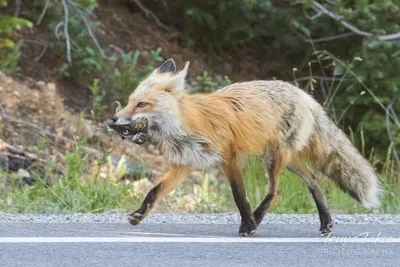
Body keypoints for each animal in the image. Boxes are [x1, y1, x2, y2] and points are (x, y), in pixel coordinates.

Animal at [111, 58, 382, 237]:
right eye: (129, 102)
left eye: (142, 105)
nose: (113, 120)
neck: (189, 125)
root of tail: (303, 94)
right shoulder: (185, 164)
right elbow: (154, 191)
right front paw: (139, 214)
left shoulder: (229, 159)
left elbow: (240, 196)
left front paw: (247, 224)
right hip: (288, 160)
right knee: (314, 181)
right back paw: (325, 222)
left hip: (274, 158)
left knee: (275, 192)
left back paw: (257, 220)